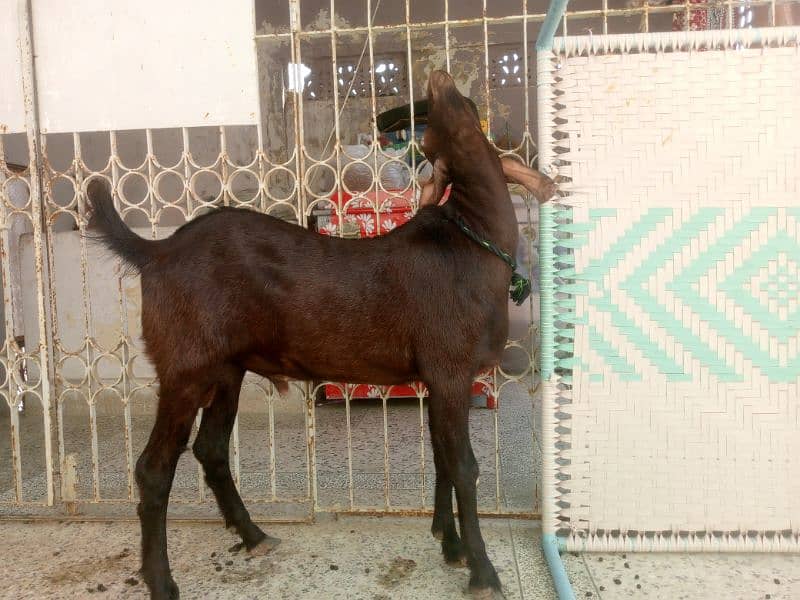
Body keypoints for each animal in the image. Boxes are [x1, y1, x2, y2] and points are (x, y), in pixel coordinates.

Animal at [87, 71, 552, 600]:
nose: (438, 81)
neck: (472, 236)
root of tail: (156, 251)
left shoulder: (438, 377)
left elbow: (442, 458)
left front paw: (450, 545)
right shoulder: (451, 369)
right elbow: (465, 467)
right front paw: (482, 570)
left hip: (226, 368)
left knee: (211, 447)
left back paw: (253, 535)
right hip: (185, 366)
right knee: (153, 467)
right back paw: (162, 581)